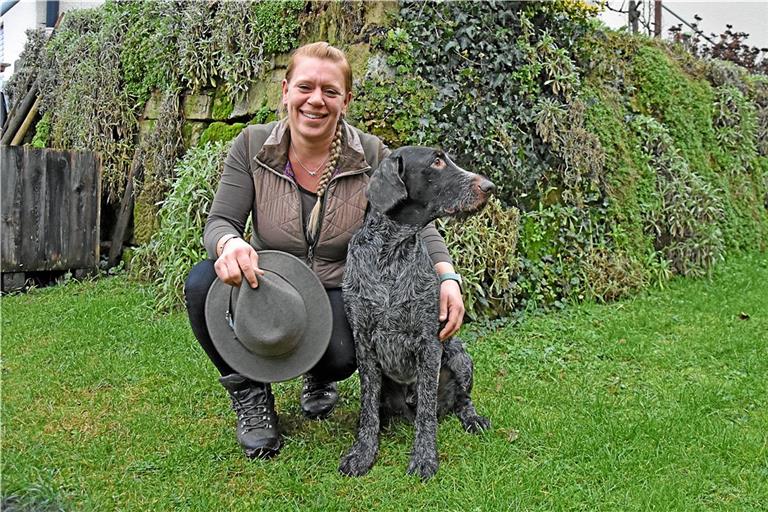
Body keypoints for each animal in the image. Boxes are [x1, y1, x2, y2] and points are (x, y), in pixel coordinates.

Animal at [340, 145, 496, 480]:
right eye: (436, 161)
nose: (490, 187)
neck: (390, 254)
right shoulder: (363, 342)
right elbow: (367, 408)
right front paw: (363, 452)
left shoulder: (428, 342)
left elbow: (426, 412)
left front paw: (424, 456)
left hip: (460, 355)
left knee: (460, 401)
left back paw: (472, 418)